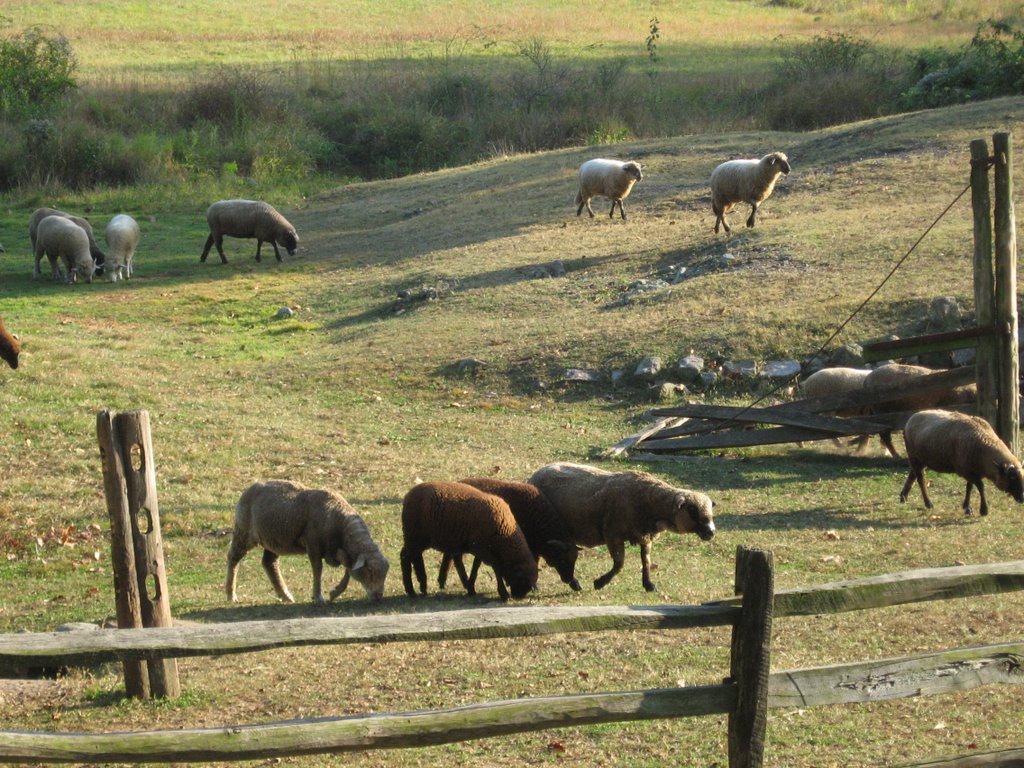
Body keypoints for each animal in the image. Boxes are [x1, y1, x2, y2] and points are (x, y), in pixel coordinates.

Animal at [226, 481, 389, 606]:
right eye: (370, 571)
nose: (378, 596)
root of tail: (250, 488)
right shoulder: (313, 544)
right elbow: (318, 569)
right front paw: (319, 598)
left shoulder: (341, 552)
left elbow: (349, 571)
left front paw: (335, 592)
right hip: (243, 533)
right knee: (233, 558)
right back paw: (231, 594)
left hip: (274, 540)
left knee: (269, 563)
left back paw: (286, 595)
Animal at [399, 481, 540, 602]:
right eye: (522, 581)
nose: (517, 597)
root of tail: (408, 495)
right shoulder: (483, 550)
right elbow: (496, 569)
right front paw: (503, 593)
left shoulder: (481, 548)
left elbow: (476, 567)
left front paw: (471, 587)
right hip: (414, 536)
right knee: (405, 557)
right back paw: (411, 590)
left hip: (418, 539)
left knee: (416, 558)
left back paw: (423, 586)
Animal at [438, 479, 585, 598]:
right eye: (562, 559)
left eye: (575, 559)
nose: (569, 580)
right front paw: (534, 586)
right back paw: (444, 581)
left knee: (450, 554)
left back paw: (443, 581)